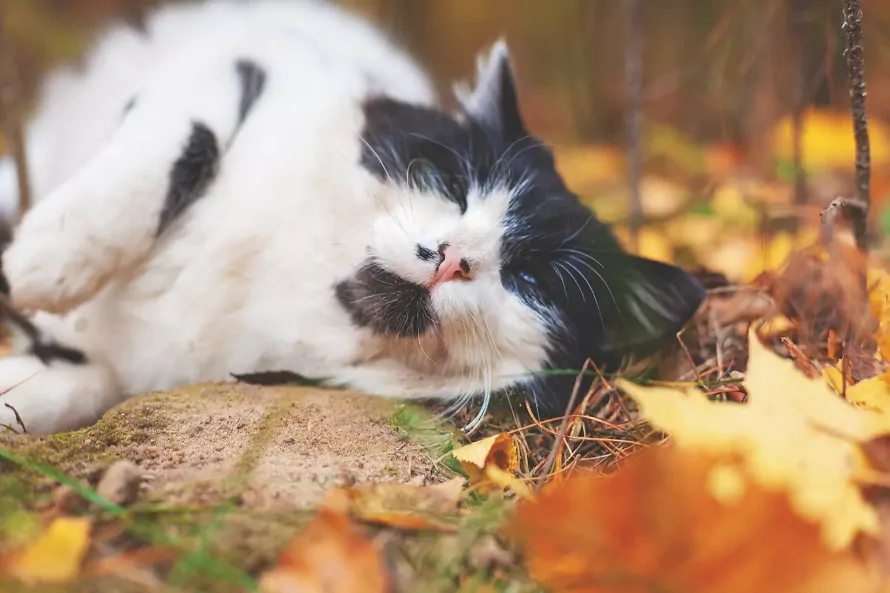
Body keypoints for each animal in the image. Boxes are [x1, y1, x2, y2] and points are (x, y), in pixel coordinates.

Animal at [0, 0, 704, 434]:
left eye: (531, 281)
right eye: (452, 185)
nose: (453, 257)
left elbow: (73, 386)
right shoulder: (234, 65)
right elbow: (163, 157)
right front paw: (43, 266)